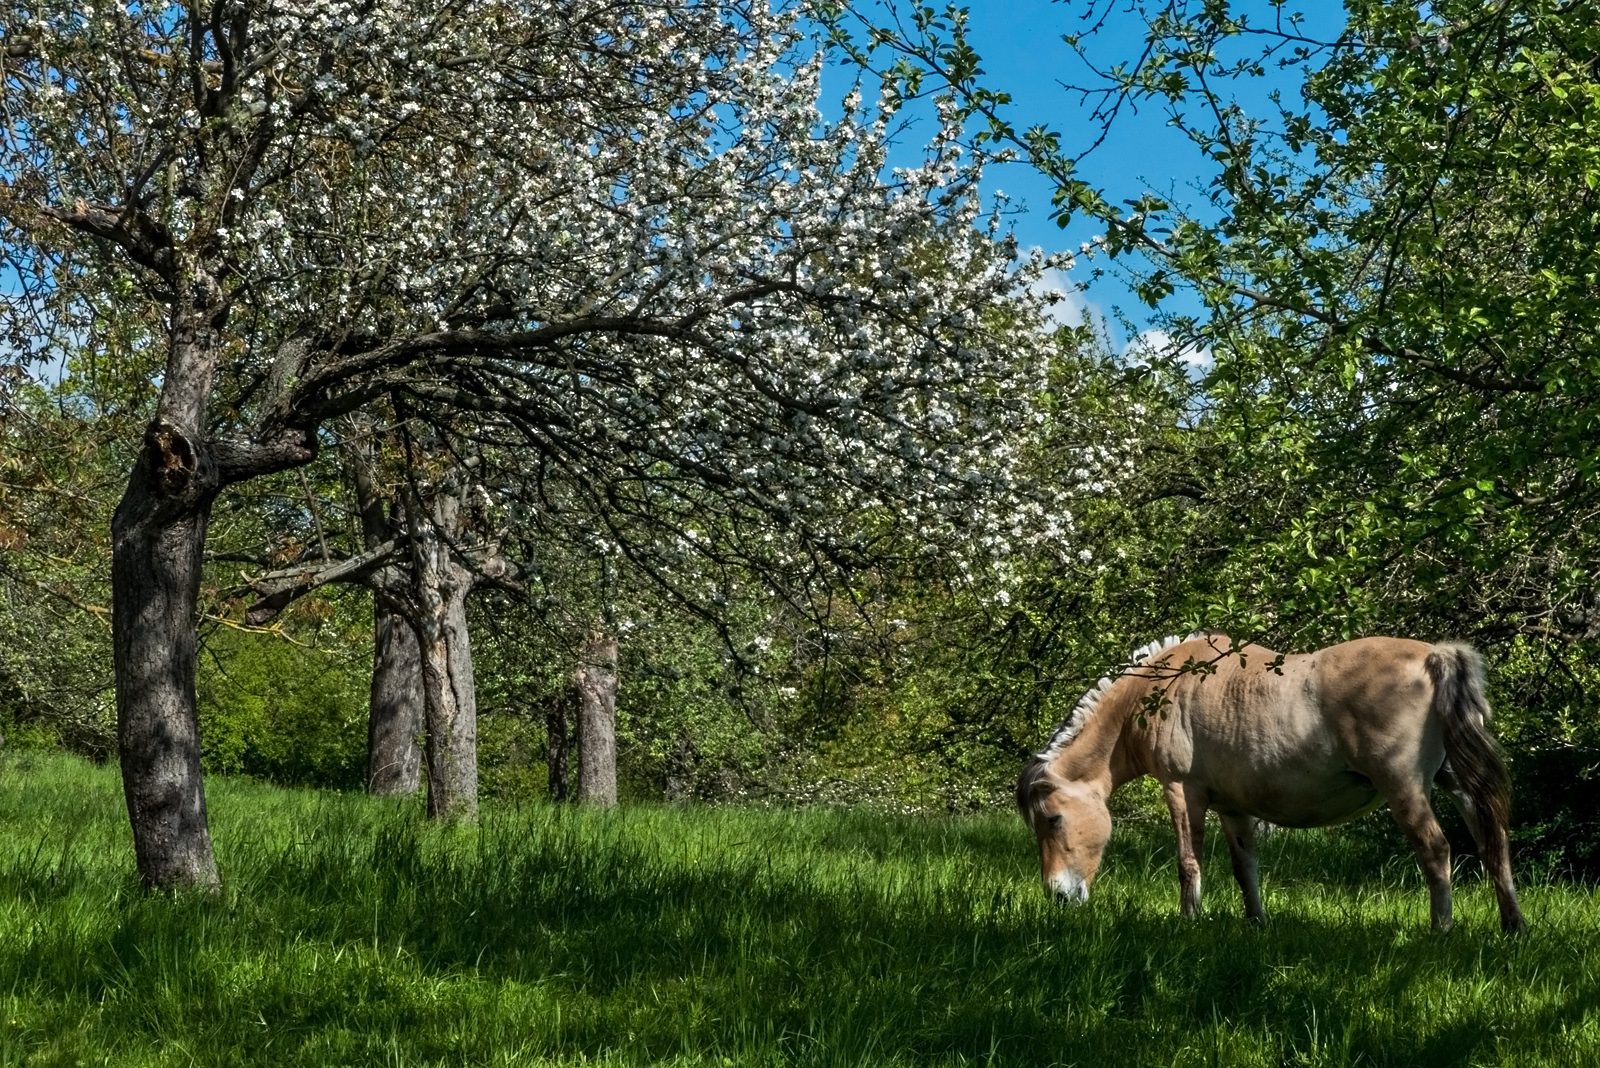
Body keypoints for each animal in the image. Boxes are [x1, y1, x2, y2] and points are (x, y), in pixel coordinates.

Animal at [1017, 639, 1529, 927]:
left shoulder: (1181, 790)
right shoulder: (1232, 806)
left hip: (1404, 788)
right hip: (1457, 782)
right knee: (1492, 840)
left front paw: (1188, 922)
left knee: (1436, 850)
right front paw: (1256, 923)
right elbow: (1245, 867)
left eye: (1053, 819)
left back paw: (1441, 930)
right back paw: (1512, 925)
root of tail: (1433, 656)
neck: (1162, 688)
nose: (1058, 895)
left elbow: (1188, 862)